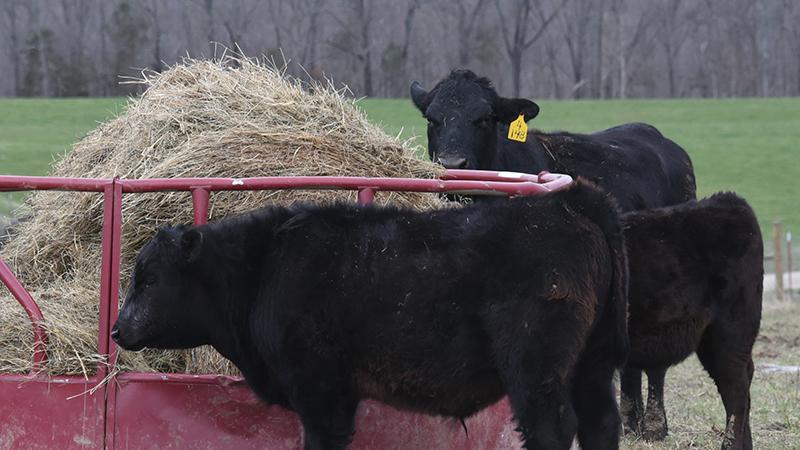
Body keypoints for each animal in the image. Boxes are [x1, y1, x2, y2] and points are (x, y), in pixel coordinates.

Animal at [112, 180, 628, 450]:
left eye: (150, 279)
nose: (117, 329)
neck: (267, 265)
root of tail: (570, 203)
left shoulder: (321, 390)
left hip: (535, 368)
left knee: (552, 427)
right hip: (593, 364)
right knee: (601, 423)